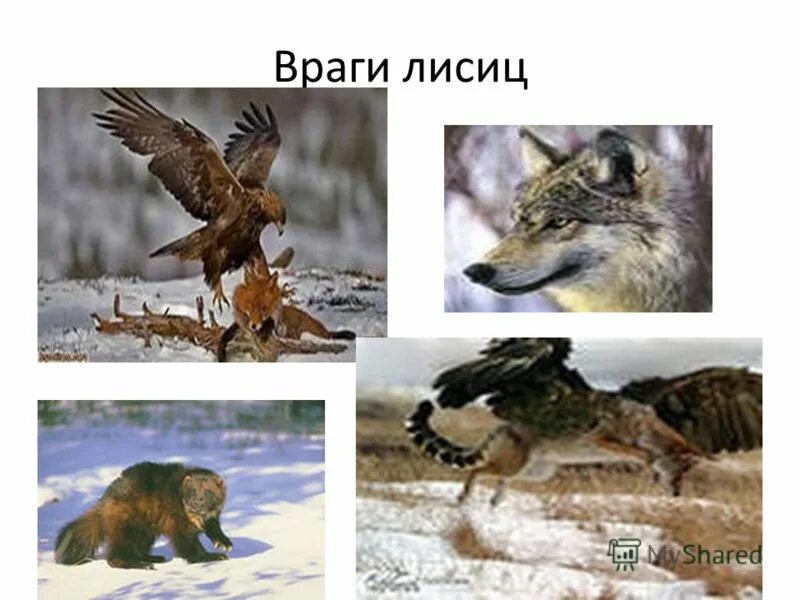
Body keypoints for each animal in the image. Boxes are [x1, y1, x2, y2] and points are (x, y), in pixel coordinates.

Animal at [55, 462, 232, 569]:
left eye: (208, 492)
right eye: (193, 491)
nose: (196, 502)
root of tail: (105, 499)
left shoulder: (210, 516)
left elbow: (213, 526)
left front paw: (224, 542)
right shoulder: (176, 519)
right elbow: (189, 545)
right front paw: (211, 556)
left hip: (145, 529)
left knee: (140, 545)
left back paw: (153, 557)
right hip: (126, 521)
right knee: (117, 554)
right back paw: (140, 564)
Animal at [405, 397, 710, 506]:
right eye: (680, 473)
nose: (677, 494)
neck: (646, 428)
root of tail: (503, 425)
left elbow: (640, 455)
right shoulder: (598, 437)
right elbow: (641, 454)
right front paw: (648, 463)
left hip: (534, 472)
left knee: (498, 480)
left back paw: (495, 502)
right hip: (513, 465)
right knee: (477, 470)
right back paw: (464, 497)